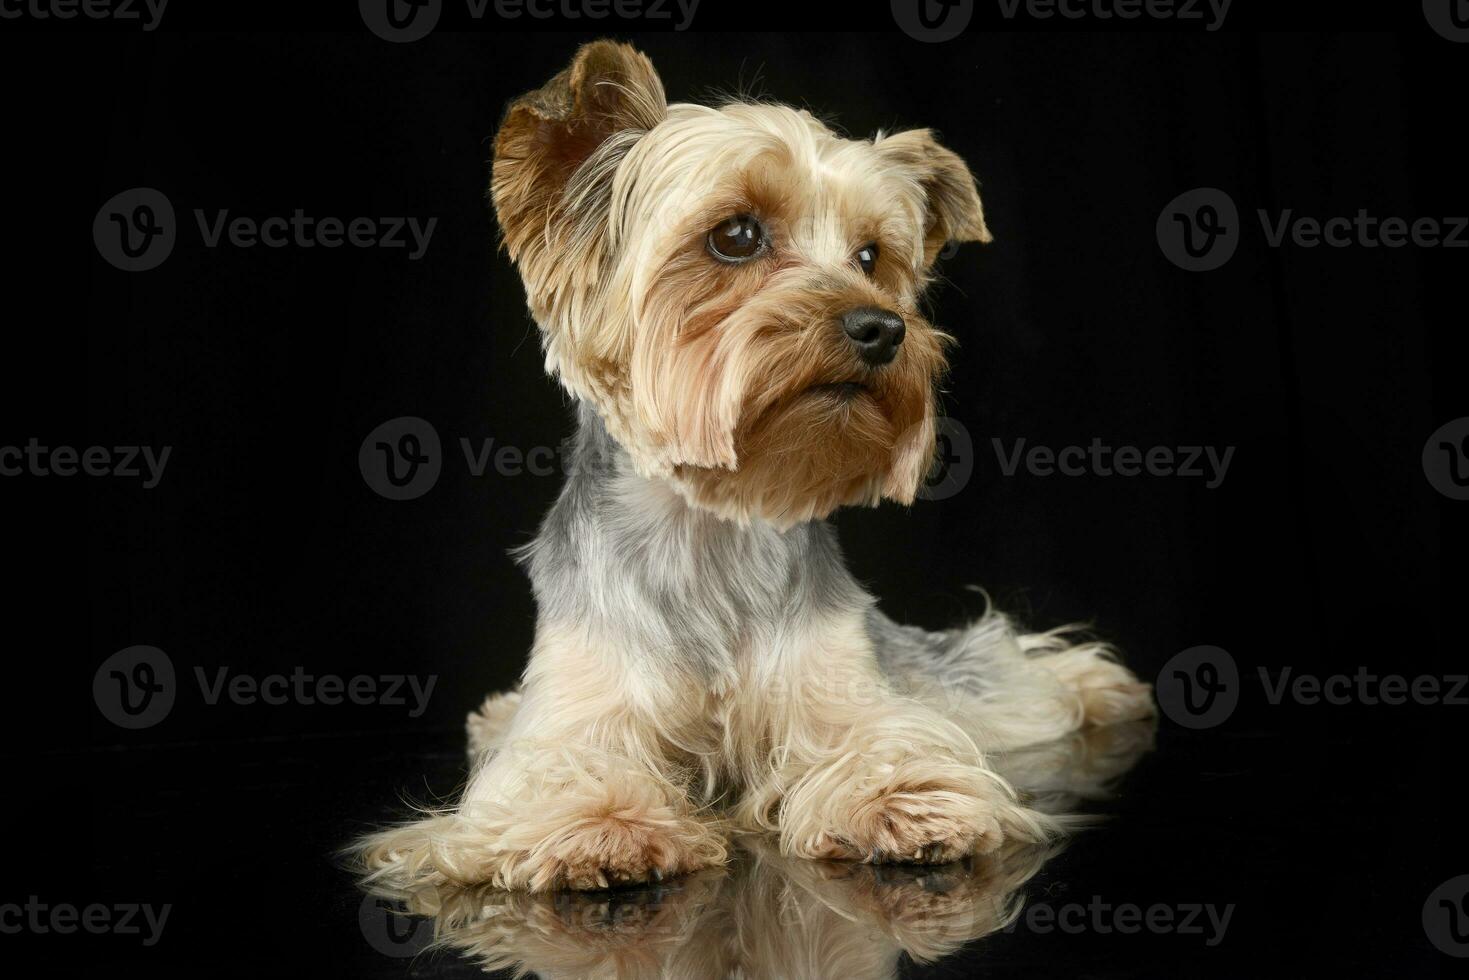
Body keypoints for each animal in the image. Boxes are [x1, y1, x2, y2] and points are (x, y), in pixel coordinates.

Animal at [358, 42, 1157, 893]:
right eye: (736, 236)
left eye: (871, 257)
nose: (882, 327)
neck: (712, 521)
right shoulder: (581, 708)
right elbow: (561, 770)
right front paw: (600, 826)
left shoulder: (838, 683)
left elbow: (882, 738)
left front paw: (905, 800)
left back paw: (1098, 686)